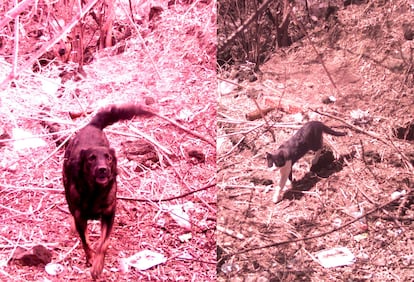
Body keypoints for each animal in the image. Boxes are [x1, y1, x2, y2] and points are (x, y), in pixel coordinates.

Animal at [61, 103, 152, 278]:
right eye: (91, 158)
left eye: (108, 158)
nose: (103, 169)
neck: (95, 192)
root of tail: (92, 126)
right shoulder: (80, 216)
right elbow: (85, 240)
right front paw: (90, 258)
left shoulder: (109, 214)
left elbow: (104, 243)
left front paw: (98, 265)